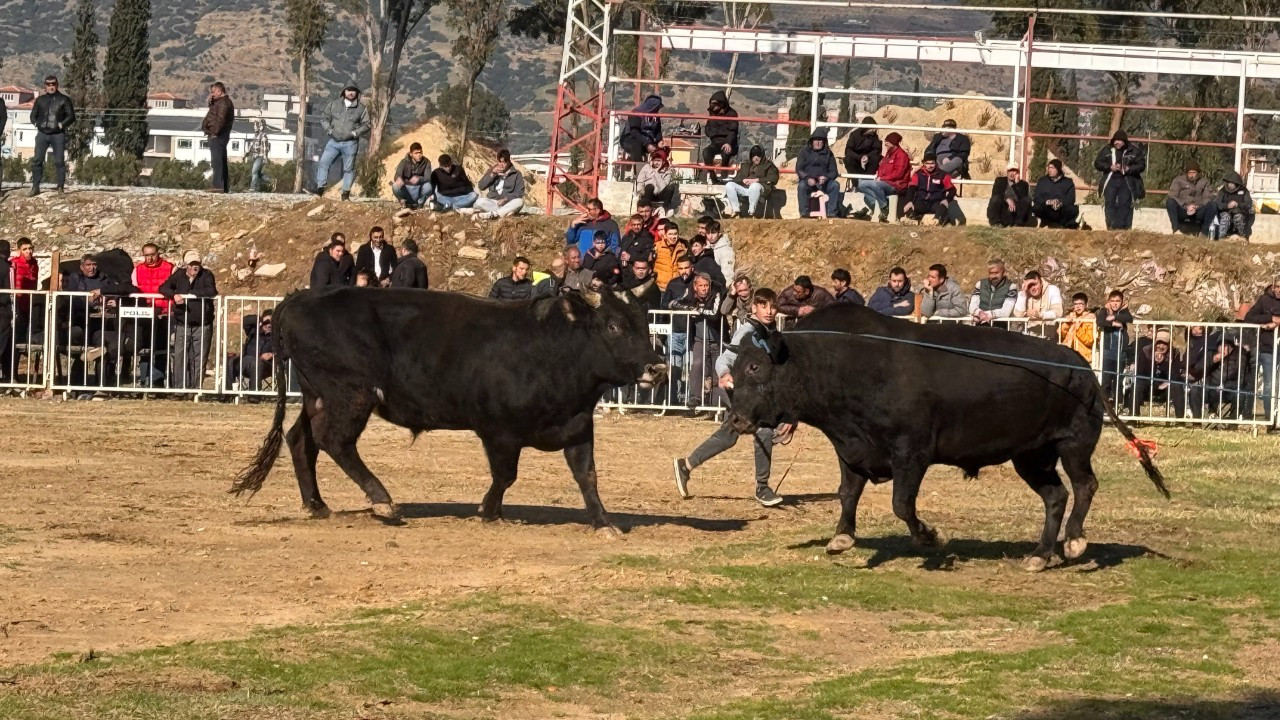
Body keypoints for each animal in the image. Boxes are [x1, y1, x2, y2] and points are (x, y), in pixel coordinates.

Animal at [234, 283, 665, 530]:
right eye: (613, 326)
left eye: (644, 325)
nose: (657, 368)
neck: (551, 346)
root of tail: (303, 297)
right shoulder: (499, 431)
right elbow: (505, 475)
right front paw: (488, 511)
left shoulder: (578, 427)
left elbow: (587, 476)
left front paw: (603, 521)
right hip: (350, 394)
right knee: (334, 441)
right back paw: (382, 501)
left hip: (317, 395)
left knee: (300, 439)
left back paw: (316, 505)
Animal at [727, 299, 1167, 568]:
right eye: (734, 369)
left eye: (755, 368)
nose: (736, 421)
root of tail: (1082, 366)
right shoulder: (850, 448)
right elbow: (847, 493)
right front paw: (842, 537)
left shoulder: (912, 453)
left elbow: (902, 504)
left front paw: (929, 538)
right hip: (1031, 456)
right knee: (1055, 496)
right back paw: (1040, 554)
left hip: (1073, 444)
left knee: (1084, 485)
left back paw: (1074, 541)